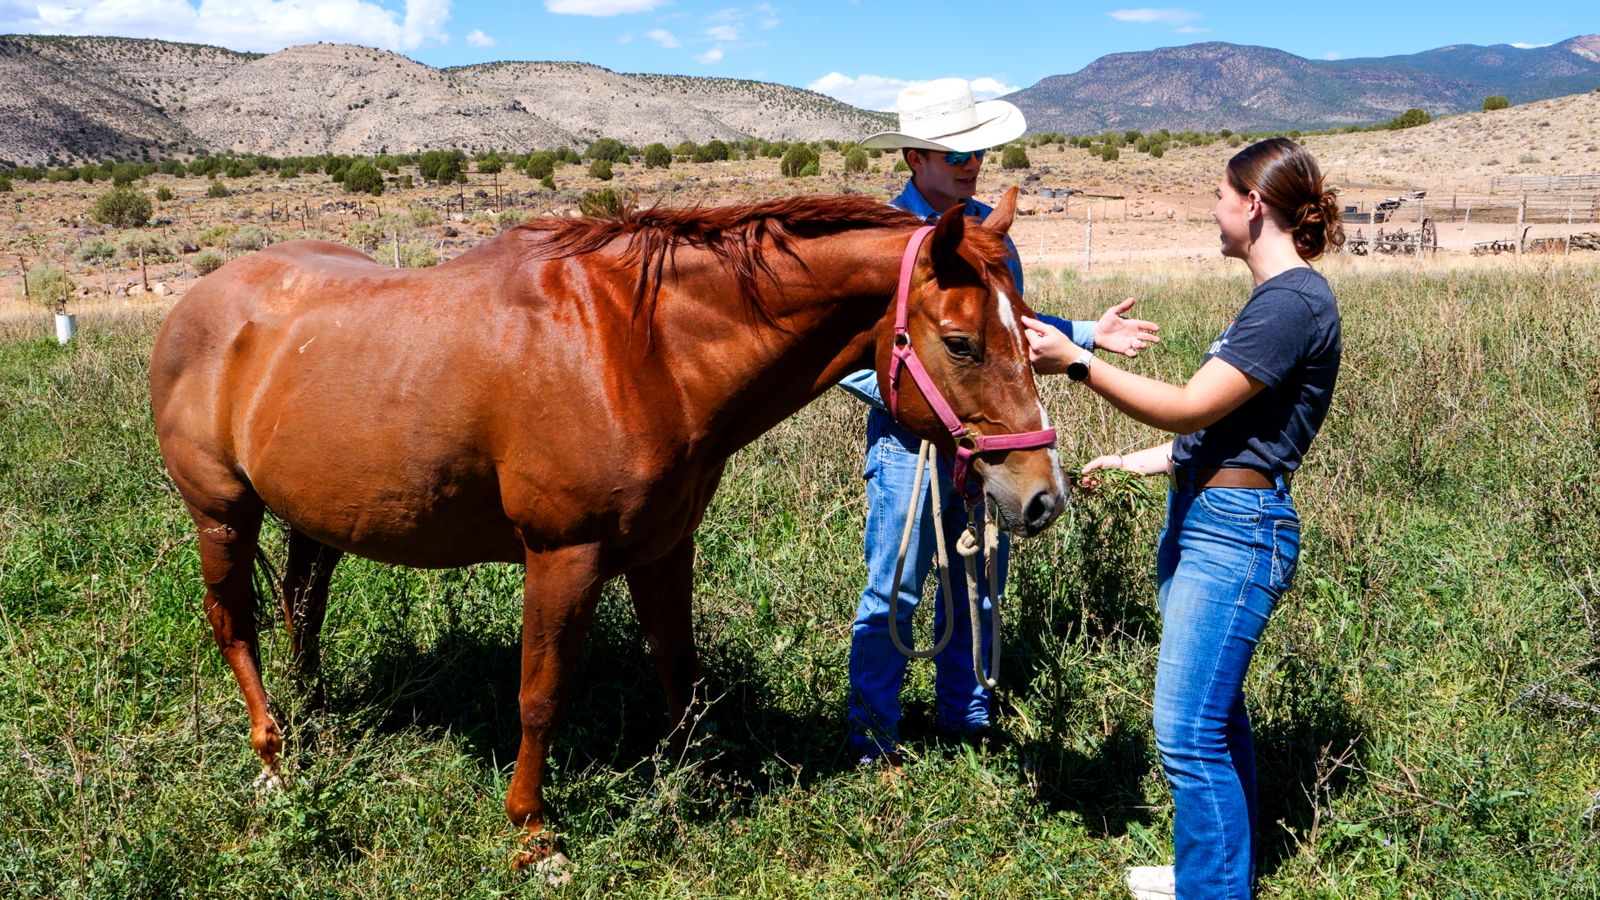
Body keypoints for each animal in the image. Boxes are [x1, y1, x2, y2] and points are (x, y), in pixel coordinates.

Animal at [148, 186, 1065, 868]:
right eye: (961, 342)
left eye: (1031, 333)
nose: (1042, 498)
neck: (640, 349)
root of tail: (198, 299)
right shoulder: (565, 557)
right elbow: (541, 694)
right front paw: (533, 834)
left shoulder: (663, 549)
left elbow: (680, 672)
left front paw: (696, 781)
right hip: (222, 514)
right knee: (235, 622)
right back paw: (274, 759)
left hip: (317, 518)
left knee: (303, 610)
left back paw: (315, 719)